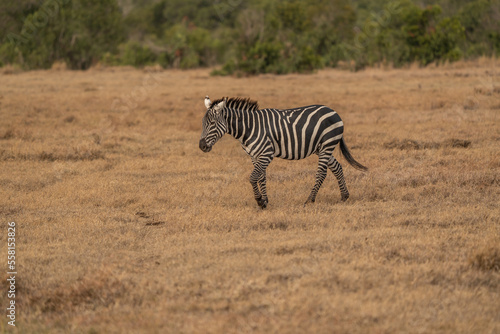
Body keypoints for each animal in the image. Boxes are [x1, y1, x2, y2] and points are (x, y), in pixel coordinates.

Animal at [199, 95, 368, 209]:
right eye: (203, 123)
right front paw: (265, 201)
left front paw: (259, 201)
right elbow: (261, 177)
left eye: (212, 123)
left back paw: (310, 200)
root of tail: (333, 110)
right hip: (321, 147)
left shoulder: (266, 154)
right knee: (337, 167)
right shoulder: (255, 156)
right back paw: (344, 196)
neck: (249, 128)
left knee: (321, 173)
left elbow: (253, 177)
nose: (201, 146)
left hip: (327, 144)